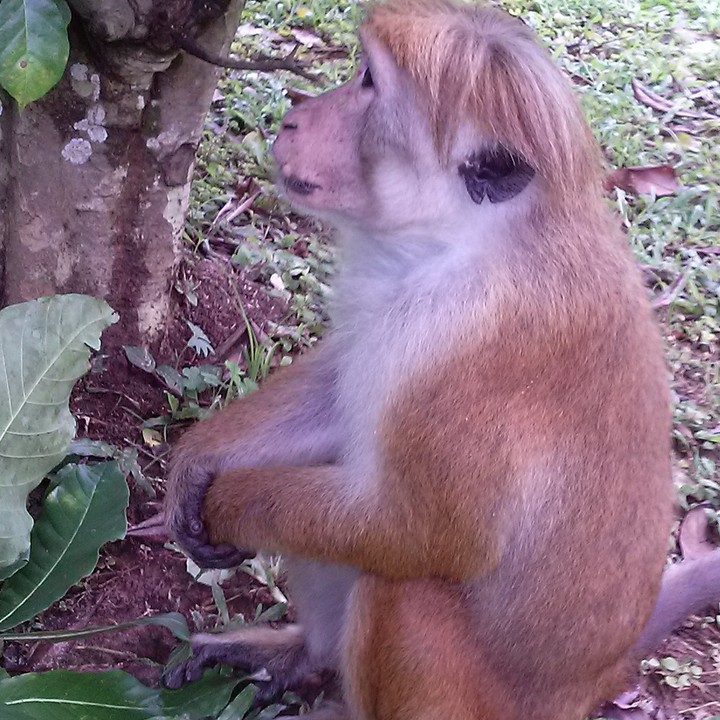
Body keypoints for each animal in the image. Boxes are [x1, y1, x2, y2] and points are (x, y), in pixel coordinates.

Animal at [163, 1, 720, 717]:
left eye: (370, 82)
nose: (293, 119)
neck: (463, 241)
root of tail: (593, 680)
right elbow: (344, 393)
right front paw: (198, 463)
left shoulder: (458, 350)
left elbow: (422, 536)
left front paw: (227, 503)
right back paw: (302, 656)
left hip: (473, 697)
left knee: (402, 583)